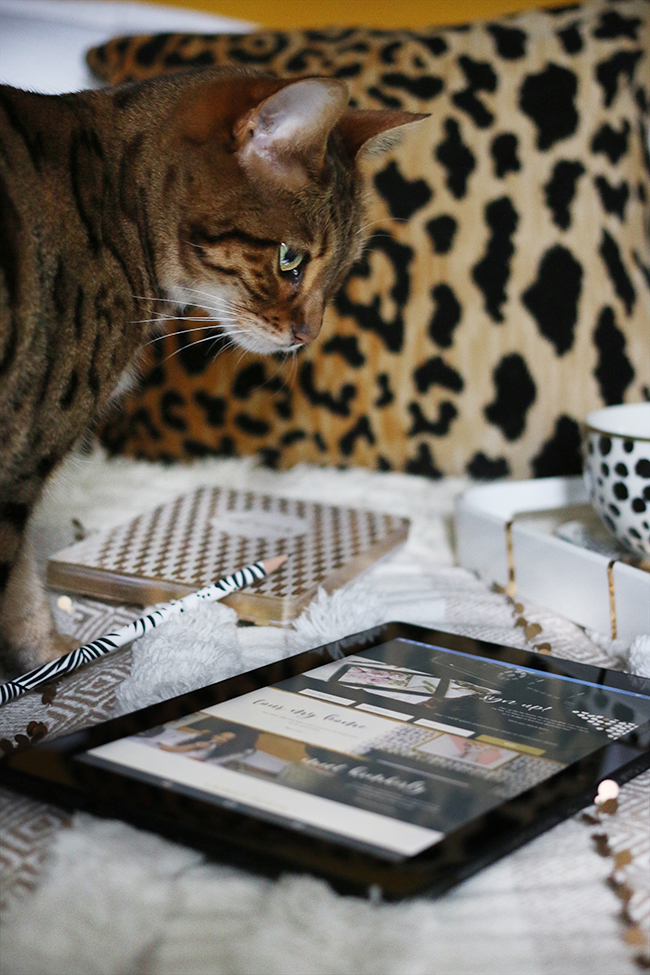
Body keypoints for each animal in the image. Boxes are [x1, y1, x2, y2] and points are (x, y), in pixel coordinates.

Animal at [0, 68, 422, 676]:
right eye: (289, 258)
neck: (114, 206)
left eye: (342, 271)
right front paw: (50, 659)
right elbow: (17, 583)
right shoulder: (21, 455)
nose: (309, 335)